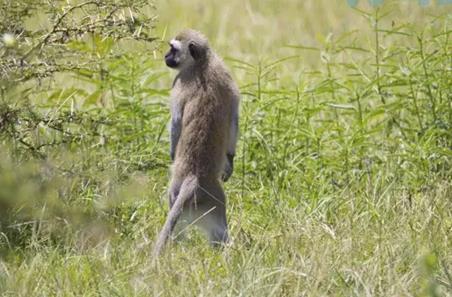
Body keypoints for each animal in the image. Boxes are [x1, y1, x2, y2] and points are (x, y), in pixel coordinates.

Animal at [153, 28, 240, 258]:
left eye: (173, 49)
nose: (165, 57)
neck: (202, 63)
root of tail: (194, 176)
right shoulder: (228, 78)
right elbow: (234, 116)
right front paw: (230, 163)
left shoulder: (178, 82)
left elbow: (176, 121)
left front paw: (172, 154)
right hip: (214, 203)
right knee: (219, 232)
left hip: (176, 193)